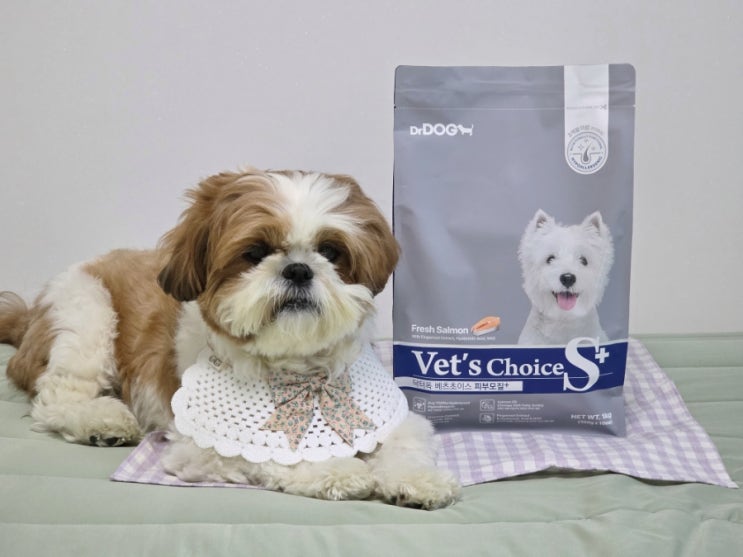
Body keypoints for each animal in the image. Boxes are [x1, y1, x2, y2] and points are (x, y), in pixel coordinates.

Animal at [0, 168, 460, 509]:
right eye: (254, 252)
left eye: (331, 251)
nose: (298, 269)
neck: (299, 374)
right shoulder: (202, 446)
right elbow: (274, 456)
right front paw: (338, 470)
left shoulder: (393, 419)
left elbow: (406, 444)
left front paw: (418, 480)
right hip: (85, 311)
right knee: (57, 397)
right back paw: (102, 421)